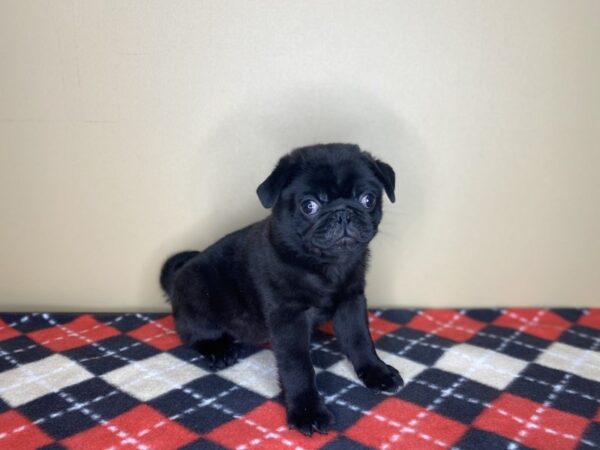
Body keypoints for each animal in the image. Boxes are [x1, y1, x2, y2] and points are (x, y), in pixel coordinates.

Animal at [159, 143, 404, 432]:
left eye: (367, 199)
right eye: (309, 206)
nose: (343, 212)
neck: (325, 267)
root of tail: (177, 277)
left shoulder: (350, 301)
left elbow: (360, 340)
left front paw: (376, 372)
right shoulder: (288, 317)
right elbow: (297, 365)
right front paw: (307, 411)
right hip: (198, 296)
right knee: (192, 333)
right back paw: (218, 350)